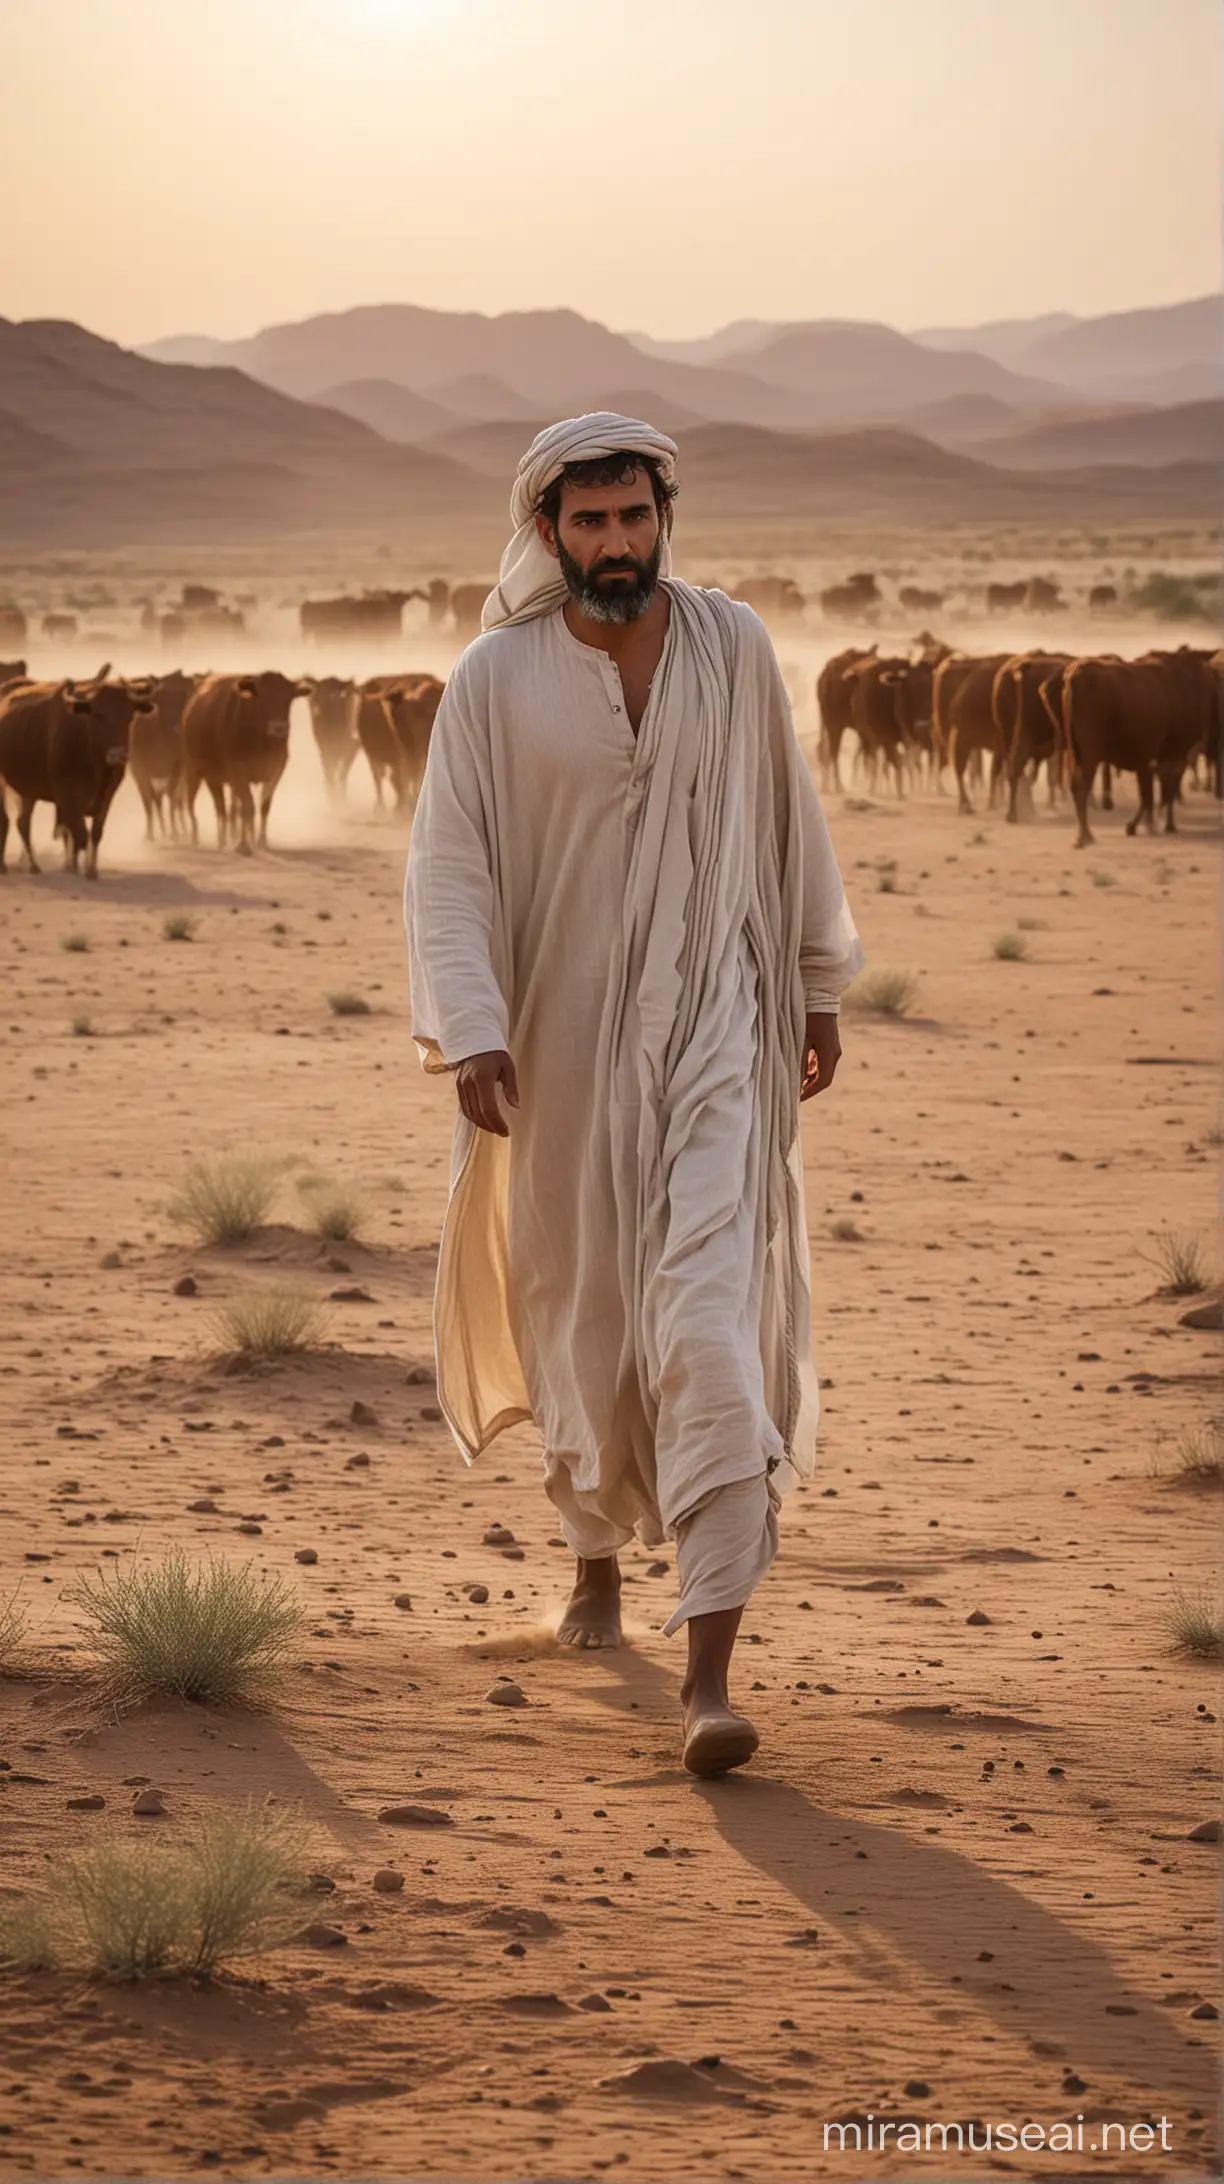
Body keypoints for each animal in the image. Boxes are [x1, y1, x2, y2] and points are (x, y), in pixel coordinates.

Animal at [0, 672, 153, 877]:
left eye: (129, 717)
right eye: (99, 715)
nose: (119, 755)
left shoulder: (107, 796)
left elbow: (95, 832)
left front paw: (90, 869)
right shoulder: (66, 796)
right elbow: (79, 834)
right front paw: (76, 867)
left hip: (28, 791)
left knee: (22, 823)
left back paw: (34, 865)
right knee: (6, 820)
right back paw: (5, 865)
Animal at [127, 663, 196, 834]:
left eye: (185, 694)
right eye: (160, 696)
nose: (177, 724)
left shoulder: (176, 769)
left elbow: (172, 799)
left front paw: (175, 833)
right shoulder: (140, 771)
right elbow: (148, 801)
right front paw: (150, 835)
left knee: (177, 801)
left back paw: (181, 829)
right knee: (158, 800)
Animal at [180, 668, 306, 847]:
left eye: (288, 698)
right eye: (263, 697)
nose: (279, 728)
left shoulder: (275, 770)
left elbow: (263, 806)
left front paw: (260, 841)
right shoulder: (238, 772)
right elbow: (248, 807)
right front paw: (244, 845)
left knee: (227, 808)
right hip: (195, 771)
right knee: (199, 804)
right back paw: (202, 839)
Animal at [306, 677, 358, 808]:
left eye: (333, 694)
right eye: (318, 690)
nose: (313, 701)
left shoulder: (351, 749)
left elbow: (342, 775)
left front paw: (341, 803)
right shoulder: (326, 749)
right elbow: (331, 773)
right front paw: (333, 803)